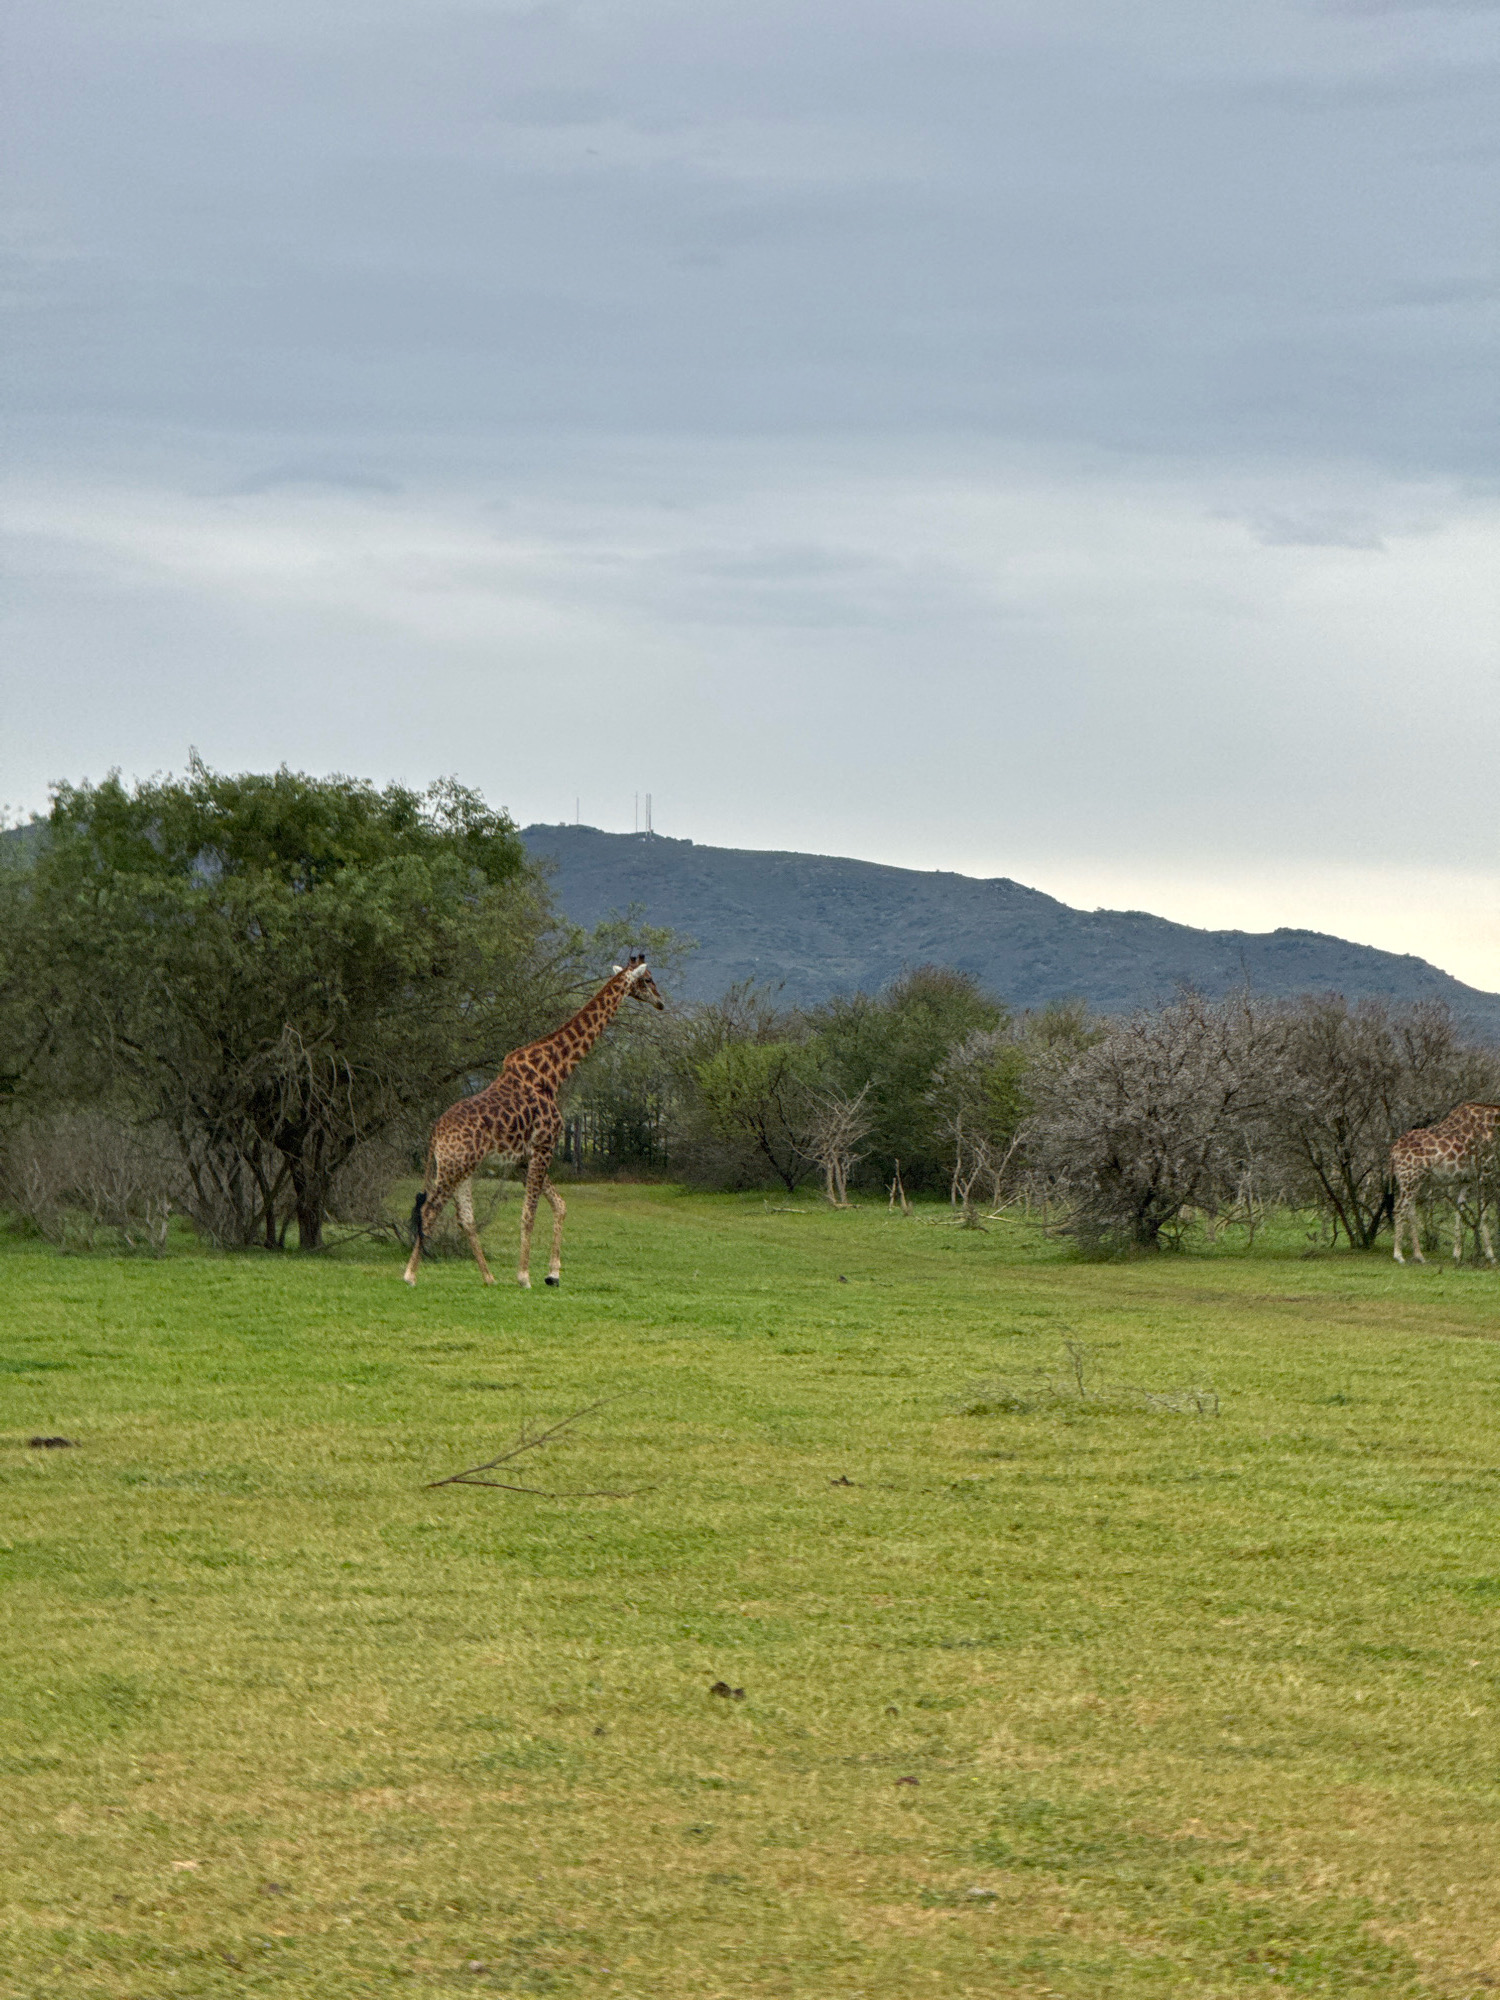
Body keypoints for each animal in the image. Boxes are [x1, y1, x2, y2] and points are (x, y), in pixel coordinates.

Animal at [403, 956, 665, 1289]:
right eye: (648, 979)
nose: (660, 1002)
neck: (552, 1073)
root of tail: (435, 1134)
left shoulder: (524, 1158)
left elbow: (559, 1205)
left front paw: (552, 1274)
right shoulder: (543, 1147)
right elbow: (529, 1214)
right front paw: (525, 1276)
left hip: (462, 1167)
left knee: (465, 1218)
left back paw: (488, 1277)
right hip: (454, 1166)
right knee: (429, 1210)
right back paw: (410, 1274)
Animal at [1390, 1101, 1500, 1265]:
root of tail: (1393, 1153)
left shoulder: (1467, 1179)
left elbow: (1460, 1209)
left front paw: (1457, 1254)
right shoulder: (1485, 1172)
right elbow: (1483, 1214)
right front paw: (1490, 1255)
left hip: (1412, 1181)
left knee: (1410, 1211)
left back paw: (1419, 1255)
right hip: (1410, 1178)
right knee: (1399, 1209)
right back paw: (1399, 1255)